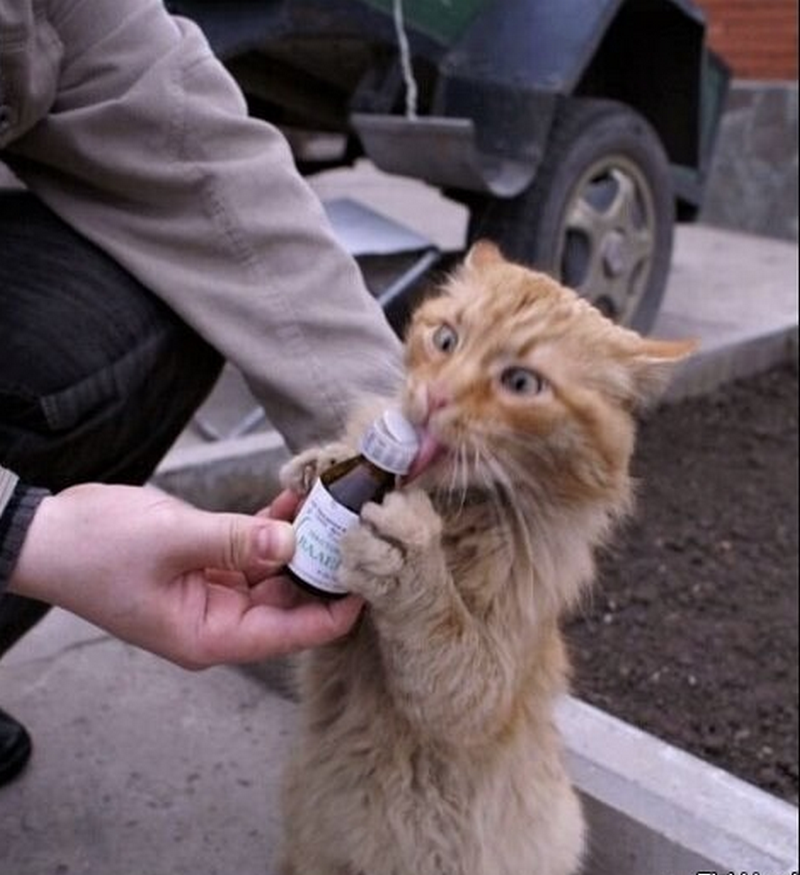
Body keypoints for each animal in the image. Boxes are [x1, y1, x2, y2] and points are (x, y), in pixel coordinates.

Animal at [276, 241, 695, 875]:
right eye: (445, 340)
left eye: (521, 382)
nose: (433, 398)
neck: (454, 512)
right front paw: (322, 459)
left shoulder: (479, 691)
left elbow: (438, 633)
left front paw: (407, 558)